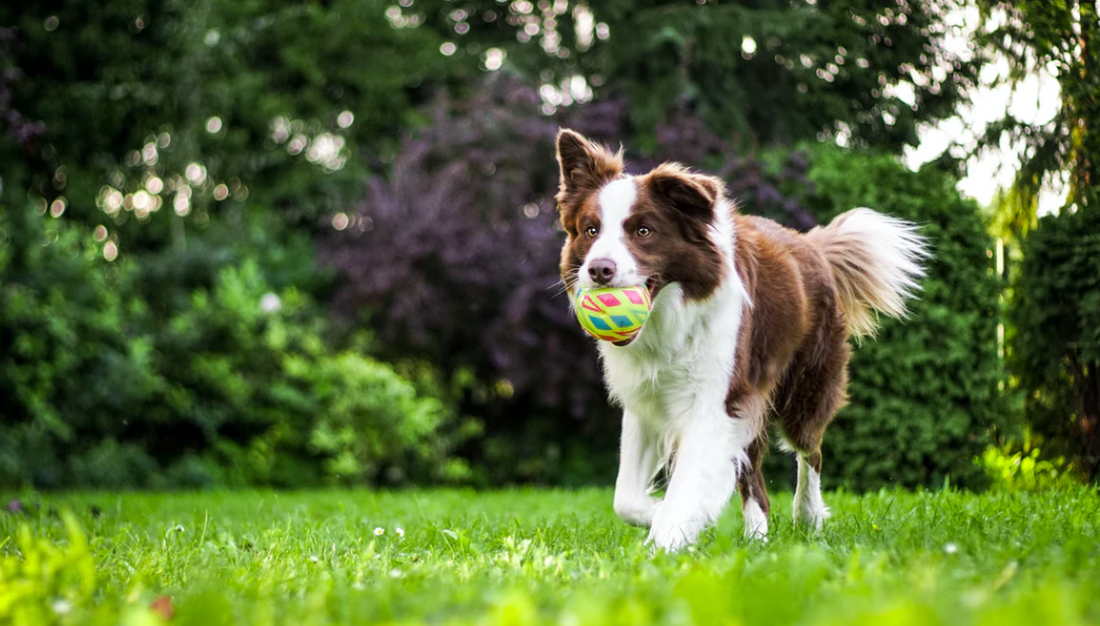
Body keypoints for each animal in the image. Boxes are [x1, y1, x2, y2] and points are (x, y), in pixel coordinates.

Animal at [554, 129, 924, 550]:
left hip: (805, 387)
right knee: (755, 477)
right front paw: (663, 515)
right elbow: (625, 499)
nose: (599, 269)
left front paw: (667, 538)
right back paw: (757, 537)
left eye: (643, 231)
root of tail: (811, 245)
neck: (668, 319)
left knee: (810, 450)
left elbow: (688, 483)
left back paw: (808, 516)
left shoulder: (716, 400)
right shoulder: (647, 400)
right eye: (591, 230)